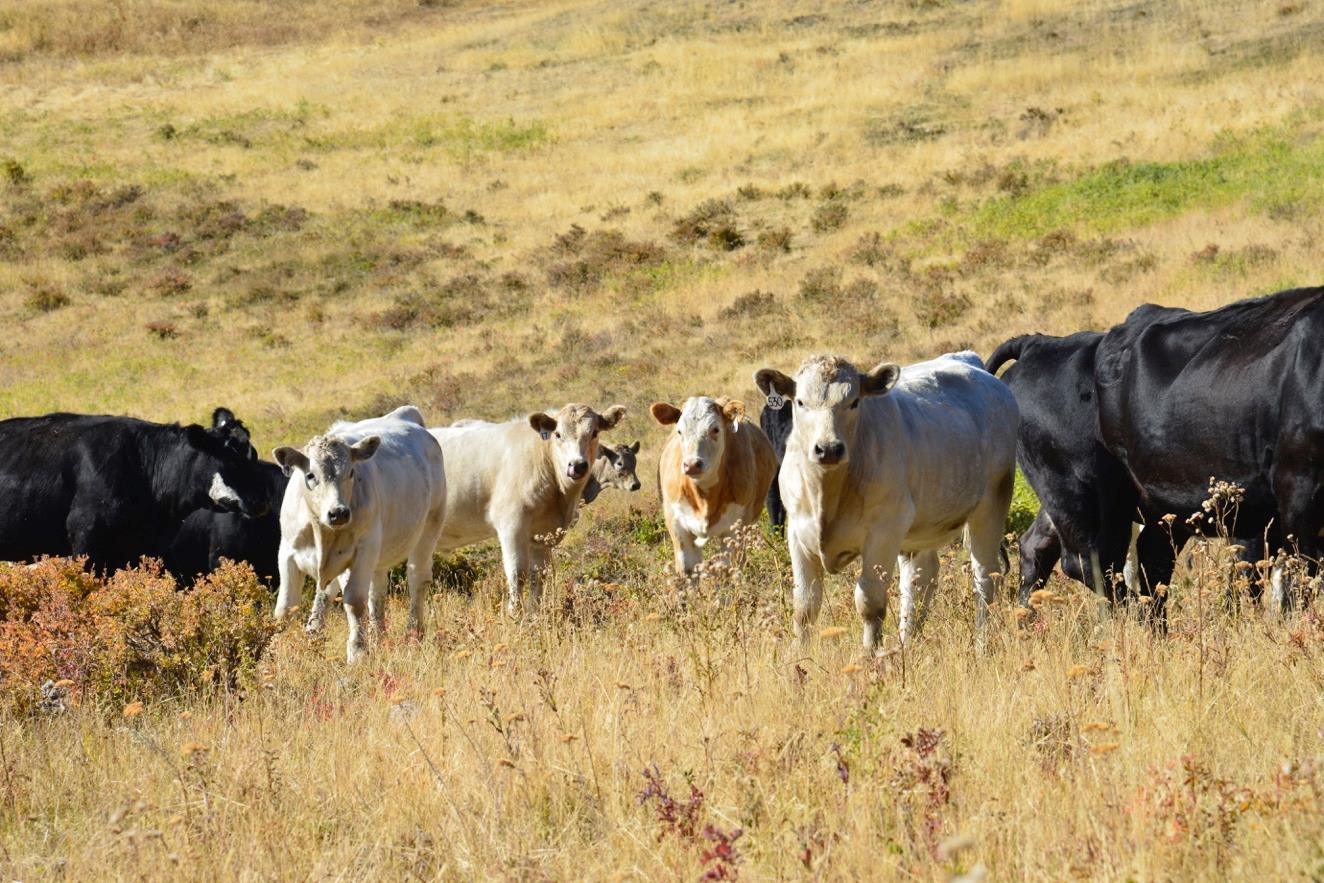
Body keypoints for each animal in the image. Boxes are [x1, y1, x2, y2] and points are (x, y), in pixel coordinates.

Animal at [271, 407, 447, 661]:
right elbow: (285, 608)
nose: (339, 513)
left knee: (417, 580)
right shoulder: (287, 553)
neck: (322, 532)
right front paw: (275, 652)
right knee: (374, 590)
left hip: (429, 526)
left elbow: (354, 601)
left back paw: (413, 635)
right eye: (311, 476)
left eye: (351, 472)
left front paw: (358, 652)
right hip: (378, 553)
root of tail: (405, 415)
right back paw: (372, 635)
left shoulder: (363, 550)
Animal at [648, 397, 773, 577]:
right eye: (679, 431)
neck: (704, 498)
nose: (692, 465)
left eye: (715, 429)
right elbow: (688, 570)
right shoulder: (677, 525)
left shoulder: (734, 529)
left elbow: (726, 568)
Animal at [1090, 287, 1324, 611]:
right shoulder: (1299, 485)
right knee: (1110, 562)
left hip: (1166, 502)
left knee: (1154, 556)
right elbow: (1300, 580)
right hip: (1114, 492)